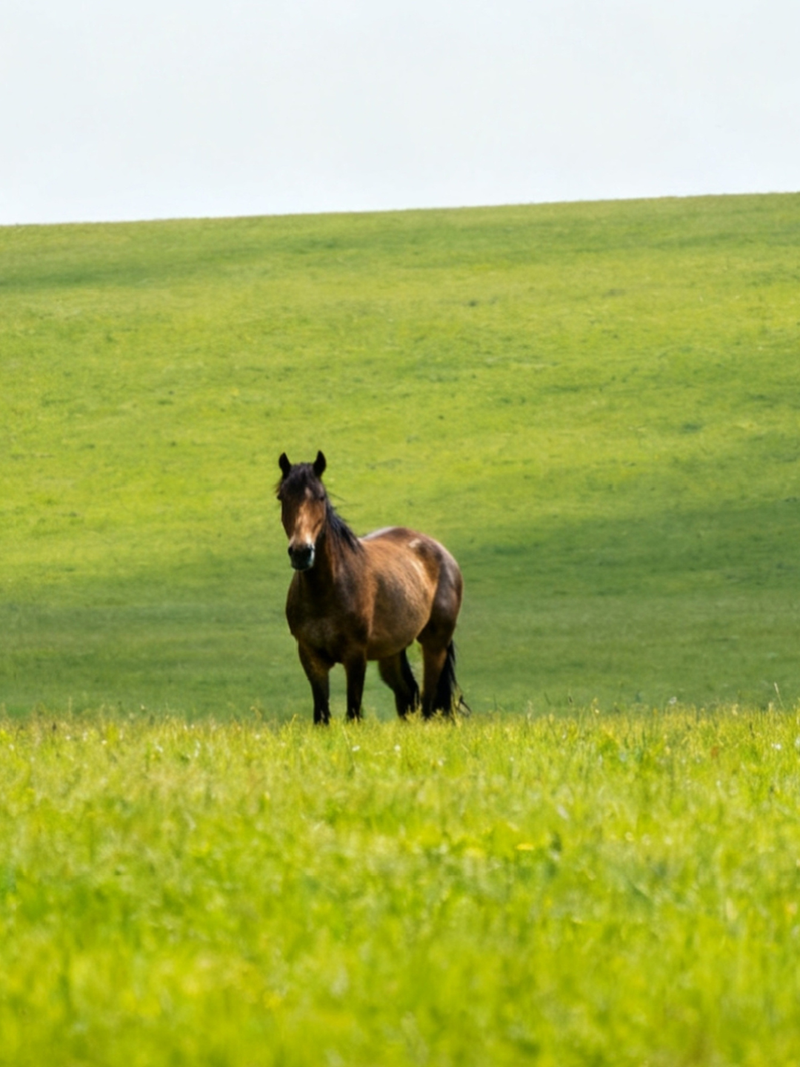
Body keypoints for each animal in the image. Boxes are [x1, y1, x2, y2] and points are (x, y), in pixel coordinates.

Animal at [277, 451, 464, 724]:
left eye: (321, 496)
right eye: (282, 497)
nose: (301, 552)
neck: (326, 591)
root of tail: (442, 553)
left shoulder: (355, 657)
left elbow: (353, 712)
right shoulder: (311, 657)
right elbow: (321, 716)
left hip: (434, 644)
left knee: (428, 702)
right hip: (391, 652)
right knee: (408, 694)